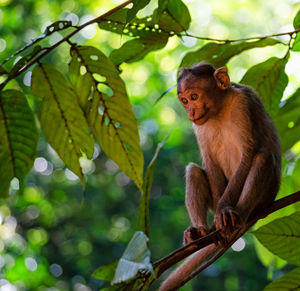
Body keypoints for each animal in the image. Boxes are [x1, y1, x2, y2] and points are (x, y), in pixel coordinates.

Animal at [159, 62, 282, 290]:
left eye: (194, 97)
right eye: (184, 101)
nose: (191, 111)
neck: (220, 109)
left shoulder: (243, 104)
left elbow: (248, 153)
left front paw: (223, 210)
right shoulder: (198, 125)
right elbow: (210, 163)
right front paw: (217, 216)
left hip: (267, 195)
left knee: (263, 158)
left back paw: (238, 215)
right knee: (193, 170)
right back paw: (201, 232)